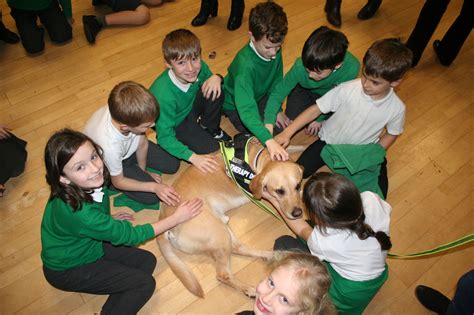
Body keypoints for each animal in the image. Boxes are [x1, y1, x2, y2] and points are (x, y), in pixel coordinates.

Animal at [156, 141, 304, 298]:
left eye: (297, 185)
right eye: (279, 191)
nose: (298, 213)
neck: (257, 159)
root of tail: (165, 220)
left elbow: (295, 147)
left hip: (223, 229)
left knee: (239, 248)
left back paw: (271, 255)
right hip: (218, 233)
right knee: (223, 274)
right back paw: (249, 289)